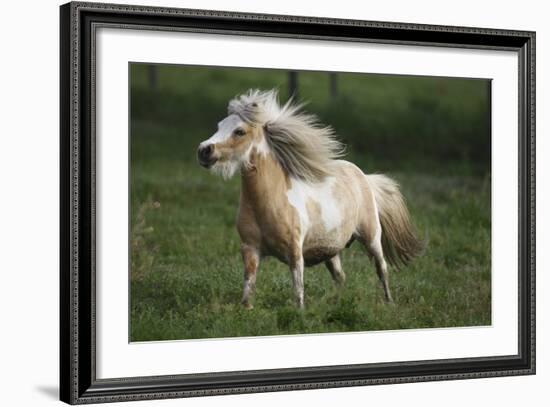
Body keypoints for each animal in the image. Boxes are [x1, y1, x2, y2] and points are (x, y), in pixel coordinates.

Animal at [197, 89, 422, 310]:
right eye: (219, 125)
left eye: (240, 131)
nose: (204, 150)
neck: (268, 204)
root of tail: (363, 176)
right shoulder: (250, 249)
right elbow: (248, 286)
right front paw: (247, 309)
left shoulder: (295, 252)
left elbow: (298, 288)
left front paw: (300, 313)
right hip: (331, 250)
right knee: (340, 277)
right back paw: (339, 302)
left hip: (372, 237)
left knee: (382, 269)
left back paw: (389, 303)